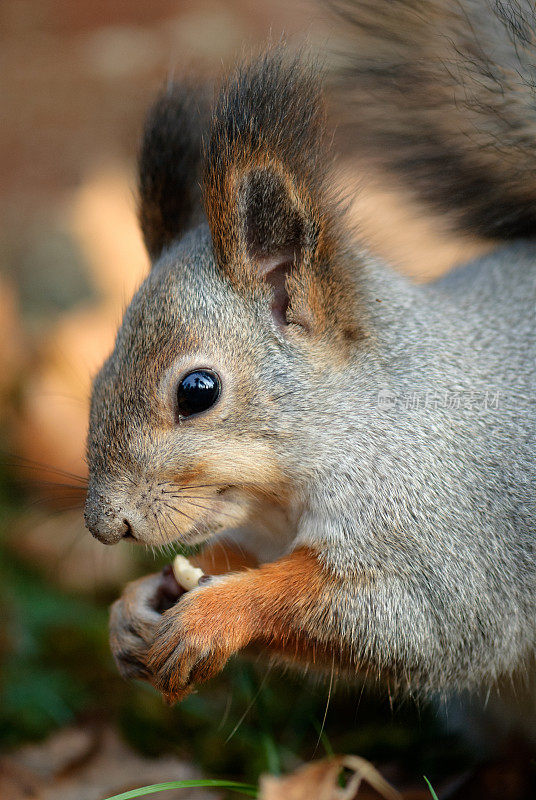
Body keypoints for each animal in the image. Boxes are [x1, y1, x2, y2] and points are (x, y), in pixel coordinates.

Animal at [84, 0, 536, 720]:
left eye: (197, 391)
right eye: (97, 376)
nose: (106, 526)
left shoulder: (448, 541)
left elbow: (407, 622)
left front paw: (216, 615)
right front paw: (133, 607)